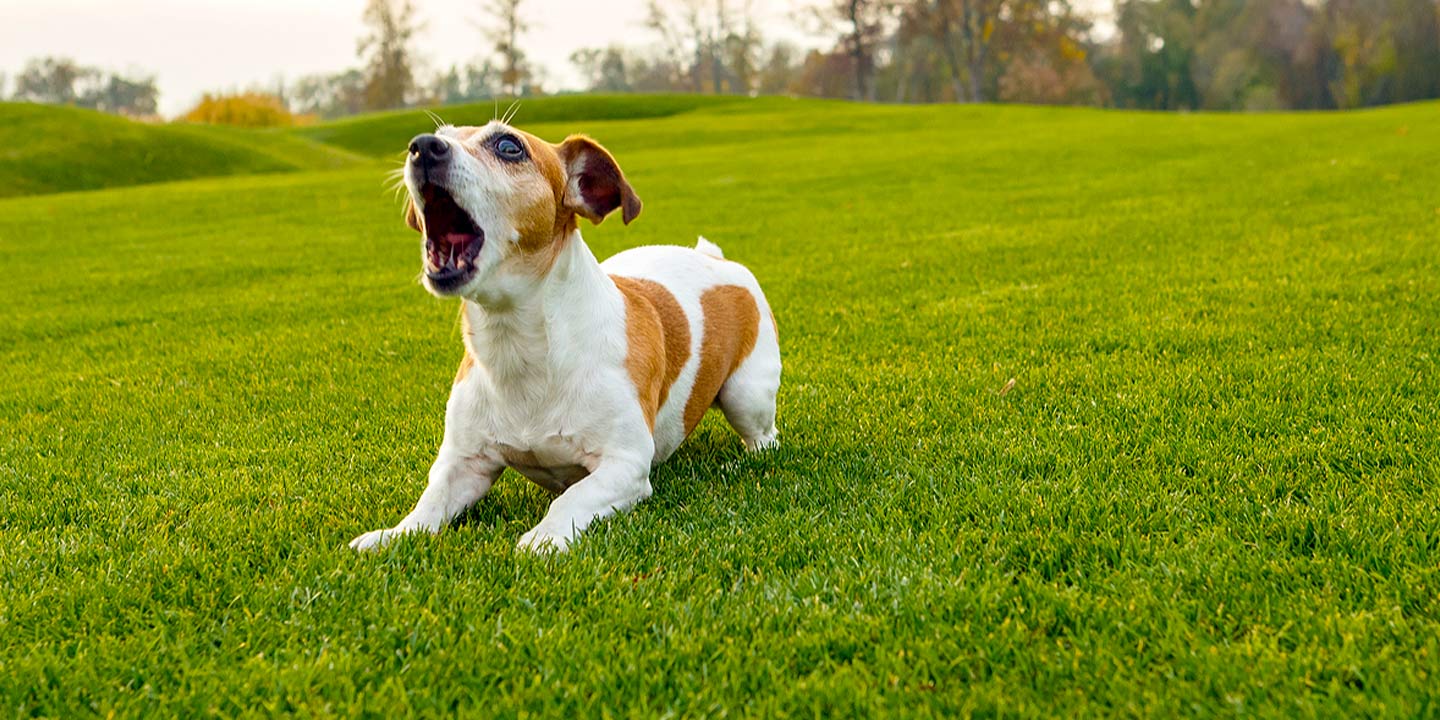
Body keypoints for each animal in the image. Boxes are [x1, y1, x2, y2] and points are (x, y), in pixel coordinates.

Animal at [348, 122, 783, 550]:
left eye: (509, 146)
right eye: (440, 134)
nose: (422, 146)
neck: (520, 347)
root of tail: (715, 258)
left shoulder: (624, 464)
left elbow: (571, 498)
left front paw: (544, 537)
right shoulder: (464, 463)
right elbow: (430, 503)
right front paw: (394, 535)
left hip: (746, 395)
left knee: (765, 436)